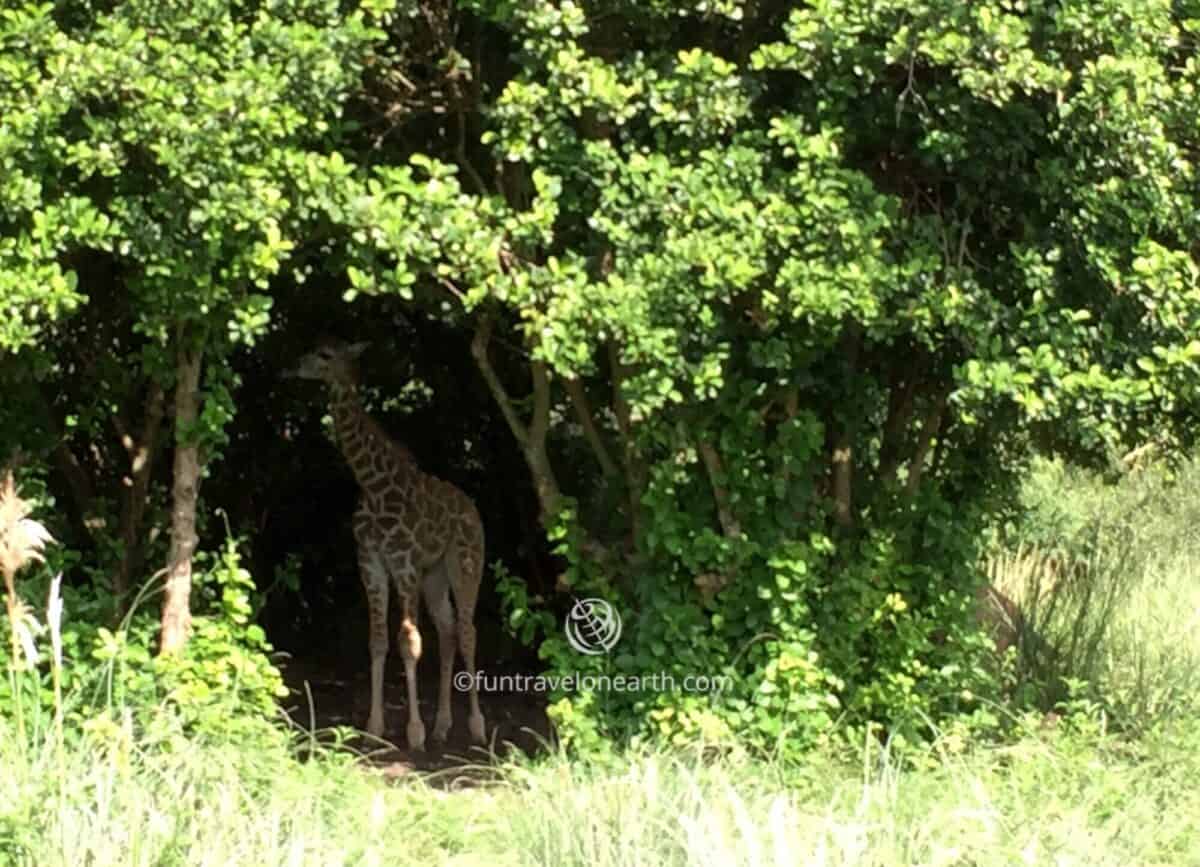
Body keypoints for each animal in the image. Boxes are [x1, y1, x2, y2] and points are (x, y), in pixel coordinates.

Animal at [284, 338, 482, 749]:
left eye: (325, 355)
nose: (292, 366)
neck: (373, 484)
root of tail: (474, 510)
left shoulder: (404, 564)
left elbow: (410, 641)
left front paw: (414, 733)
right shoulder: (371, 563)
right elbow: (377, 640)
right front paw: (375, 728)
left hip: (466, 563)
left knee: (468, 632)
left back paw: (476, 727)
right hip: (434, 575)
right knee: (448, 631)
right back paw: (443, 726)